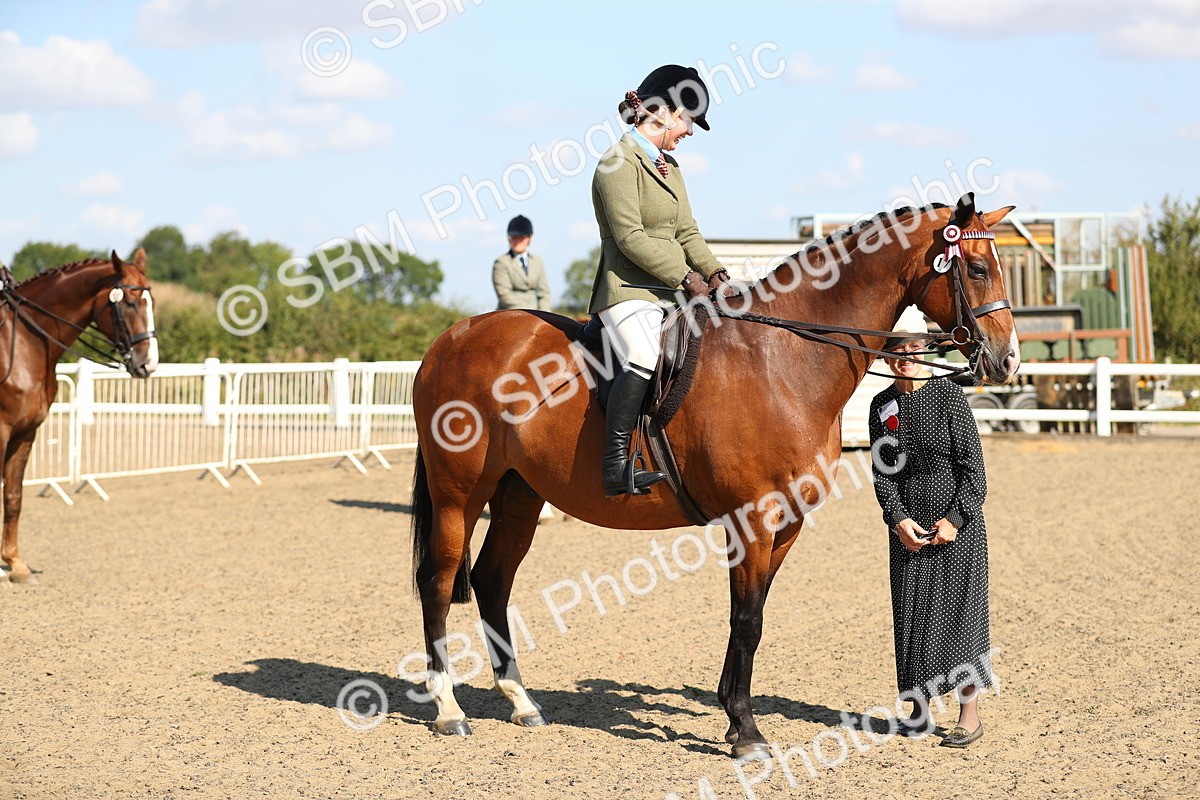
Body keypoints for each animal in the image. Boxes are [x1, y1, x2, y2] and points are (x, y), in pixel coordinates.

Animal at [0, 249, 158, 586]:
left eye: (151, 301)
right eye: (129, 303)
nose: (148, 364)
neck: (23, 345)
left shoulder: (25, 433)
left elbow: (14, 496)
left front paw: (16, 565)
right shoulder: (2, 431)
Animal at [409, 193, 1019, 759]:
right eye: (978, 268)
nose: (1007, 360)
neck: (783, 359)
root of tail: (451, 339)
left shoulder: (785, 524)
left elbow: (750, 615)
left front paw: (730, 710)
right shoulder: (752, 518)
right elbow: (747, 620)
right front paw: (746, 732)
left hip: (519, 494)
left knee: (492, 580)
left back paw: (521, 703)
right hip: (459, 495)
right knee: (438, 583)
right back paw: (448, 709)